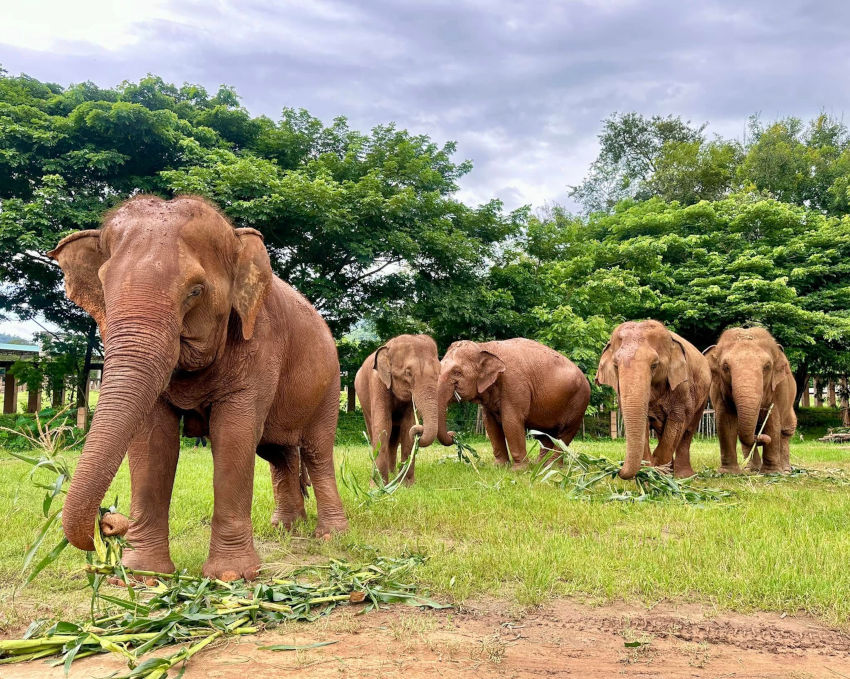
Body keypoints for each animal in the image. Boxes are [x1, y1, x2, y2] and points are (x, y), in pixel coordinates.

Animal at [48, 195, 347, 581]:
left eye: (195, 290)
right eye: (104, 288)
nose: (110, 522)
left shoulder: (260, 340)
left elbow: (233, 435)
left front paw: (231, 576)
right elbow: (152, 442)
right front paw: (143, 575)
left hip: (329, 383)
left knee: (316, 450)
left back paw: (330, 536)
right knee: (278, 453)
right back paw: (285, 529)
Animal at [354, 334, 441, 485]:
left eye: (439, 372)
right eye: (408, 373)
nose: (420, 430)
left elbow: (407, 427)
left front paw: (407, 485)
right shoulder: (377, 382)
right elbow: (383, 426)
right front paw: (378, 486)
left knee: (394, 440)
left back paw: (393, 474)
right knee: (374, 432)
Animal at [436, 338, 590, 467]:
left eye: (457, 372)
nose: (453, 434)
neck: (484, 346)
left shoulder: (514, 384)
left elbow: (511, 422)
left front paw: (519, 470)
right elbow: (490, 424)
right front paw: (499, 467)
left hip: (578, 403)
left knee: (564, 435)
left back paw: (551, 467)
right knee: (544, 435)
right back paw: (540, 465)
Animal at [596, 320, 710, 479]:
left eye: (654, 365)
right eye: (615, 366)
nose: (617, 470)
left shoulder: (682, 386)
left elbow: (677, 421)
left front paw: (659, 472)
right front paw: (647, 473)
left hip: (704, 395)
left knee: (687, 431)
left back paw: (684, 476)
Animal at [703, 327, 796, 474]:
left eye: (767, 366)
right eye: (725, 367)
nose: (759, 438)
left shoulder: (780, 389)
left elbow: (773, 421)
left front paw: (771, 473)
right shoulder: (717, 389)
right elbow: (725, 421)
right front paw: (728, 472)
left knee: (785, 431)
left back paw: (785, 470)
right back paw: (751, 470)